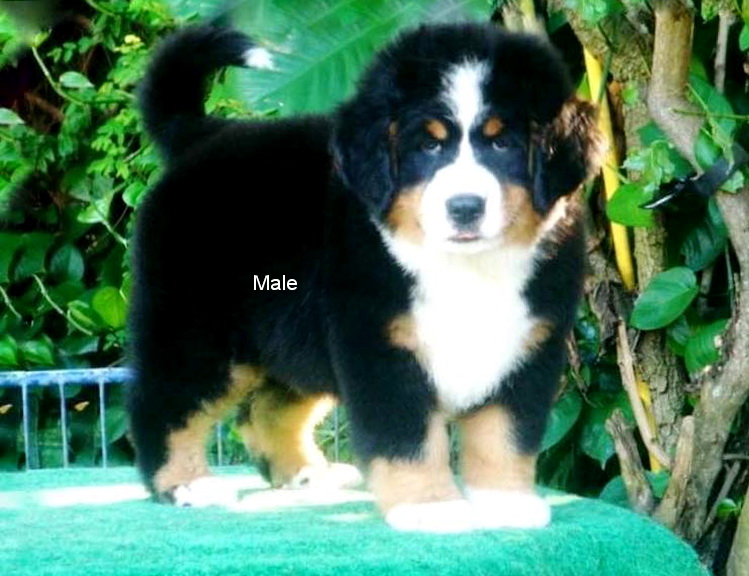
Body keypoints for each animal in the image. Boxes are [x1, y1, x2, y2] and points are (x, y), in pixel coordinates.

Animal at [127, 19, 604, 532]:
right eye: (428, 144)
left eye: (503, 142)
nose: (464, 207)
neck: (466, 266)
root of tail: (201, 134)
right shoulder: (381, 345)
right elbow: (409, 437)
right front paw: (430, 507)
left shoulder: (527, 347)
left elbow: (505, 433)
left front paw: (505, 502)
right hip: (196, 330)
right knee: (166, 404)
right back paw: (184, 484)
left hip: (297, 339)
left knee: (266, 409)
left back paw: (306, 474)